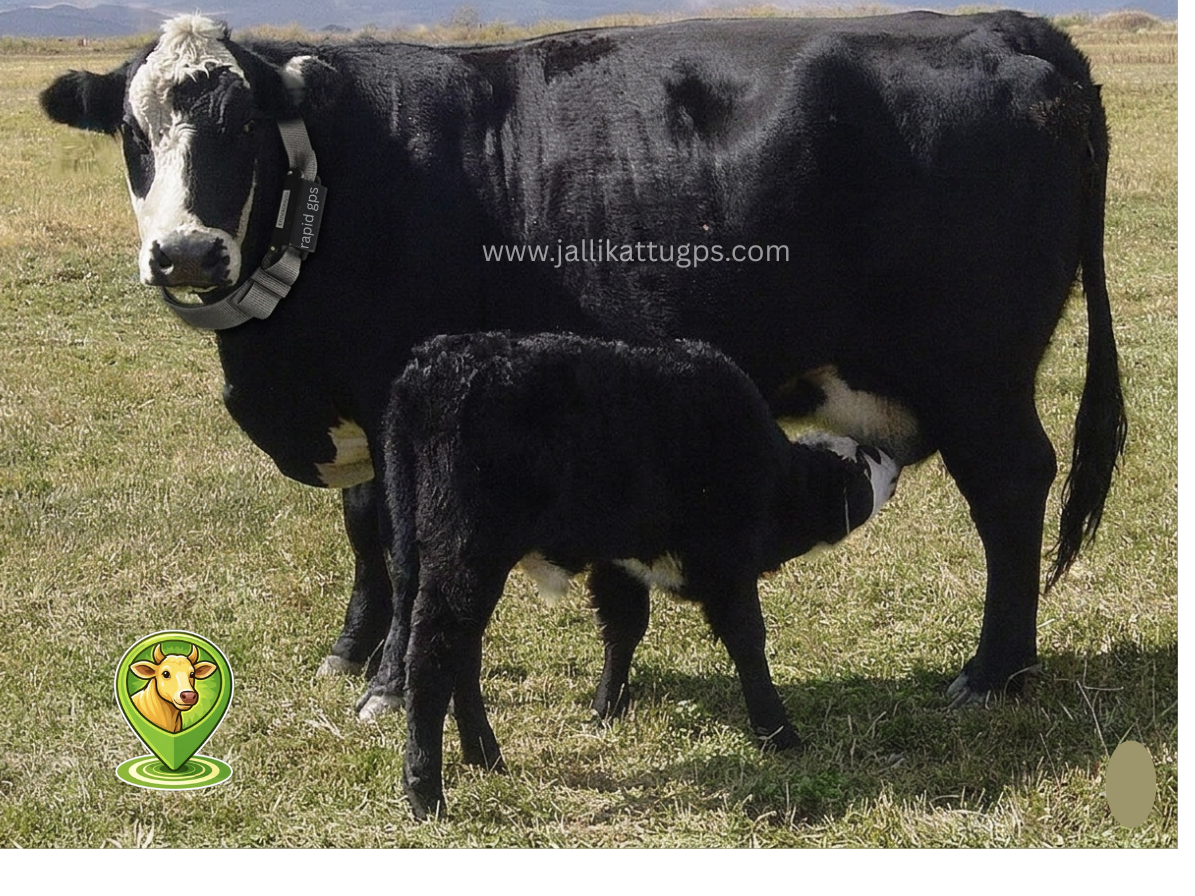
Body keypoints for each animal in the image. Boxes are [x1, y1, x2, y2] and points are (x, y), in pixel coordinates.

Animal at [40, 11, 1125, 722]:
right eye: (133, 135)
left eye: (243, 129)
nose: (185, 253)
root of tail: (1006, 27)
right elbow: (360, 535)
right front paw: (349, 652)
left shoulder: (403, 398)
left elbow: (402, 541)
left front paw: (388, 685)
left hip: (976, 374)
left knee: (1012, 487)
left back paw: (991, 671)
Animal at [385, 332, 900, 818]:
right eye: (862, 463)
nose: (892, 460)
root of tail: (432, 363)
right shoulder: (728, 561)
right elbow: (747, 639)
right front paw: (777, 731)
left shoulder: (621, 564)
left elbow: (624, 628)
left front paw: (605, 710)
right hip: (466, 554)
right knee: (433, 654)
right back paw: (426, 791)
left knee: (463, 652)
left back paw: (485, 756)